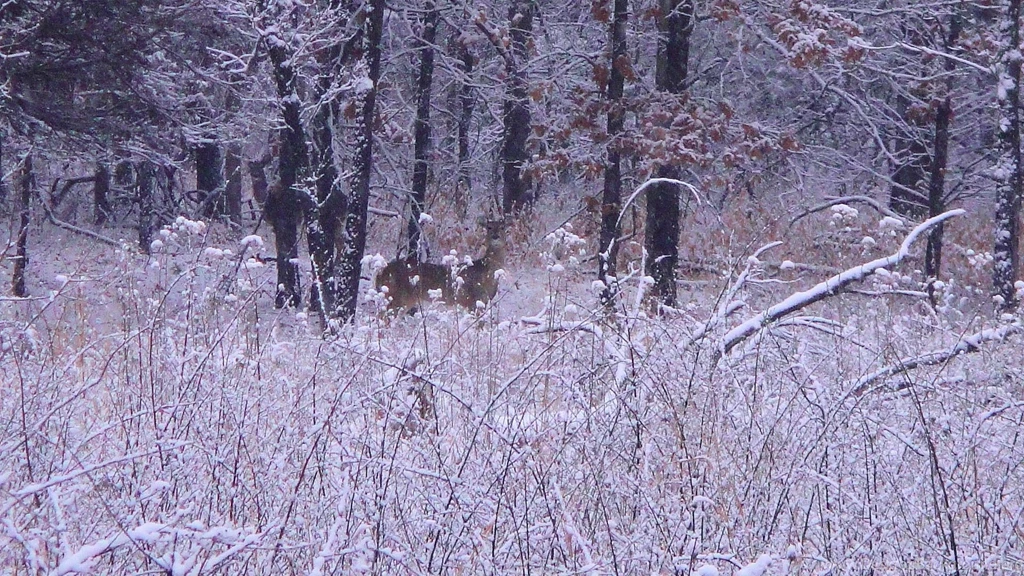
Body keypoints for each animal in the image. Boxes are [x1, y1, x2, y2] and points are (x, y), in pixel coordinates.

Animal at [375, 218, 507, 313]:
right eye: (489, 227)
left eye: (502, 227)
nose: (496, 236)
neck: (486, 272)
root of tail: (381, 272)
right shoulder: (474, 300)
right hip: (397, 296)